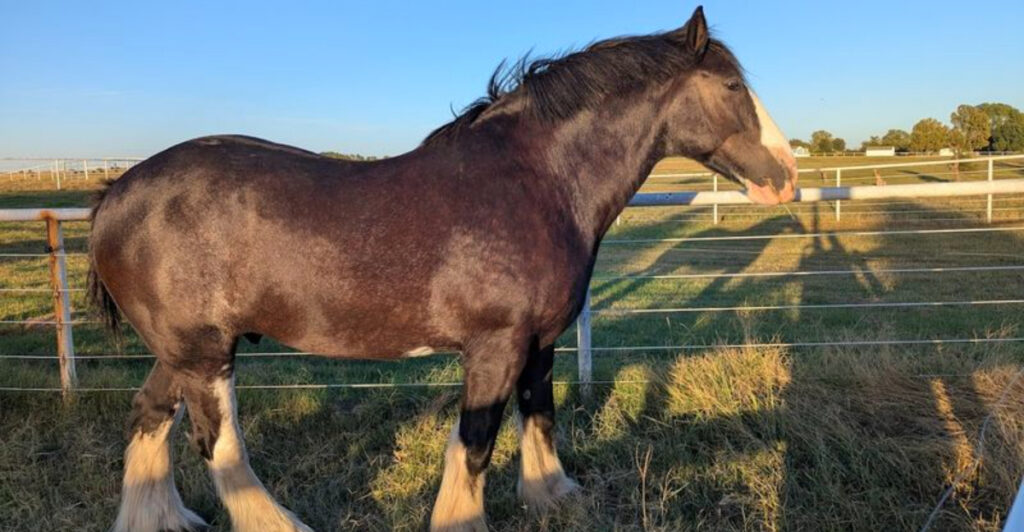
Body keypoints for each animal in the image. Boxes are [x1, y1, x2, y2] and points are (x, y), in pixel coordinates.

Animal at [88, 6, 797, 531]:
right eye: (733, 87)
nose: (787, 177)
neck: (536, 181)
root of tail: (115, 195)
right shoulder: (494, 345)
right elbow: (476, 439)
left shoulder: (540, 342)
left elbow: (538, 413)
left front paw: (552, 496)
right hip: (207, 355)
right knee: (219, 445)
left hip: (184, 351)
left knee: (150, 416)